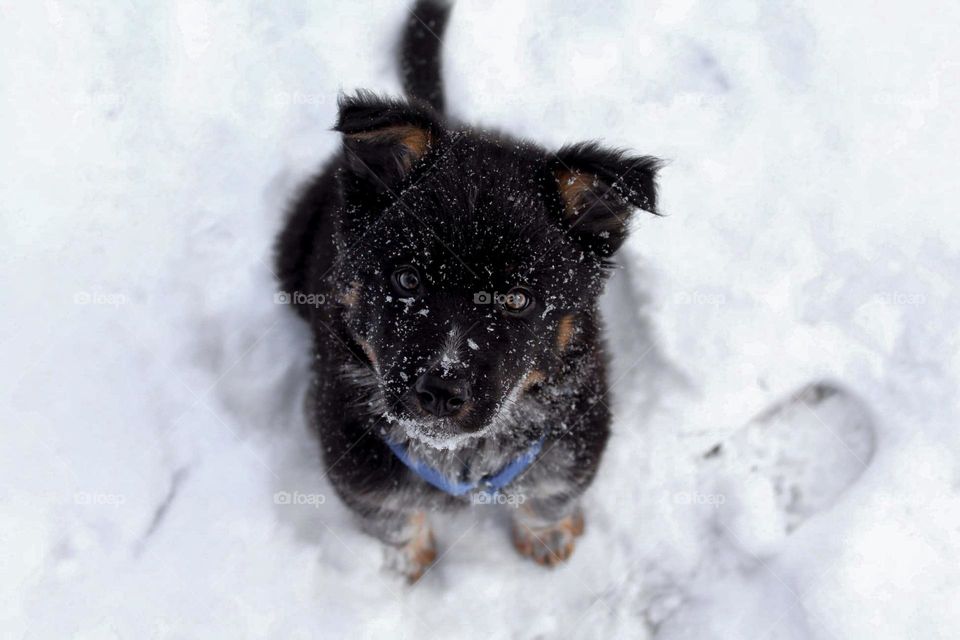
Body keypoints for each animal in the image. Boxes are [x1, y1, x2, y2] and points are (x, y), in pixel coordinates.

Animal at [276, 0, 660, 580]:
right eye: (407, 279)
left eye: (518, 299)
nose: (439, 392)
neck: (461, 456)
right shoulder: (355, 457)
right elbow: (392, 517)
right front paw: (406, 562)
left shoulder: (577, 435)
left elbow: (549, 495)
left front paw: (546, 536)